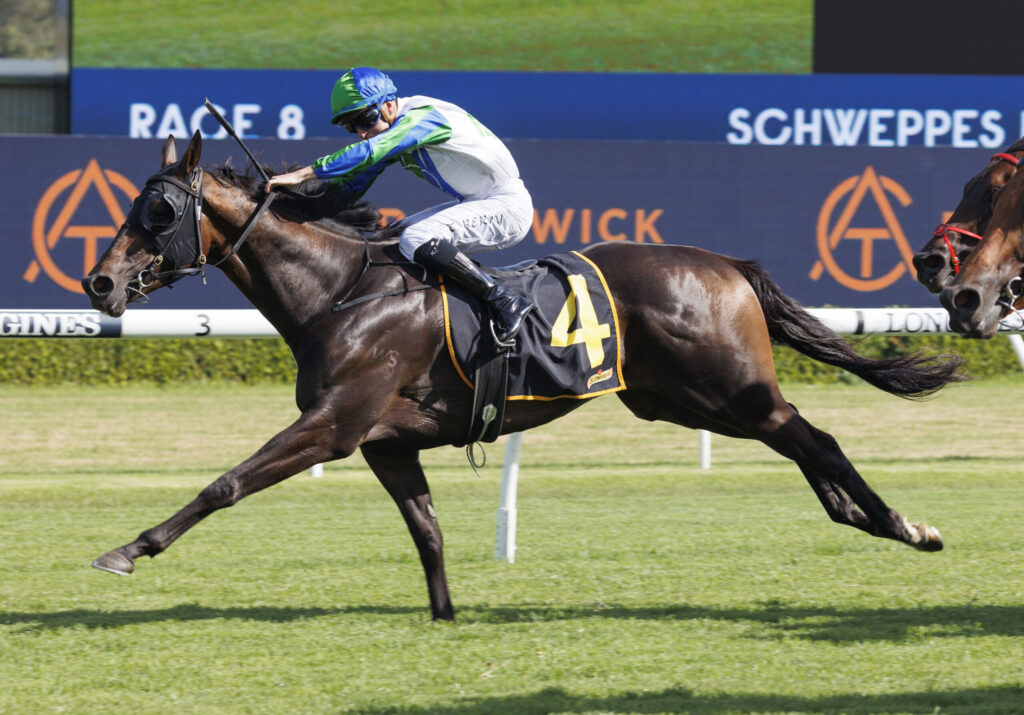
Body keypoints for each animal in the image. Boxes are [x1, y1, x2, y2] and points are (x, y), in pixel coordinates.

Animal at [82, 131, 964, 622]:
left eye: (159, 211)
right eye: (133, 204)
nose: (100, 281)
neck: (341, 290)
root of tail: (726, 264)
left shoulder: (333, 424)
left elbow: (226, 482)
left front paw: (129, 547)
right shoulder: (385, 442)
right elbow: (428, 531)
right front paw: (446, 616)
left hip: (725, 387)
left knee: (818, 436)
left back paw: (902, 524)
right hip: (683, 399)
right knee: (802, 441)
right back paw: (859, 514)